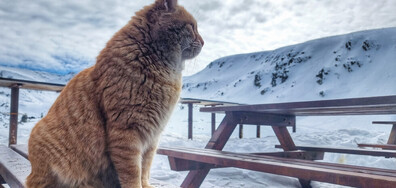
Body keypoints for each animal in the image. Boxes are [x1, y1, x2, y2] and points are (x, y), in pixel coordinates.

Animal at [25, 0, 203, 187]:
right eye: (192, 27)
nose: (204, 42)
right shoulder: (127, 132)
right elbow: (133, 173)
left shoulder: (152, 138)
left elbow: (145, 168)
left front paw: (146, 184)